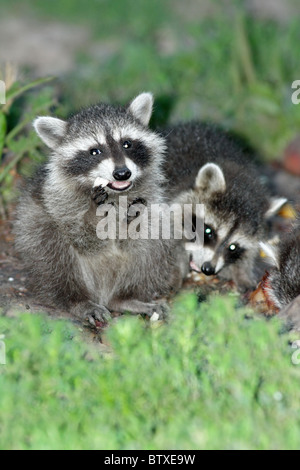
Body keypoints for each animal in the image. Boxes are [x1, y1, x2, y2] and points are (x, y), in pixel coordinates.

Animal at [15, 93, 188, 324]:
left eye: (127, 143)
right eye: (94, 151)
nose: (122, 173)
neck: (115, 192)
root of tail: (103, 294)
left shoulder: (150, 198)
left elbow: (145, 231)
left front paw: (130, 223)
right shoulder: (58, 201)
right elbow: (81, 238)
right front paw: (94, 217)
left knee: (154, 242)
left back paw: (126, 298)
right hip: (37, 228)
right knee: (52, 250)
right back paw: (78, 300)